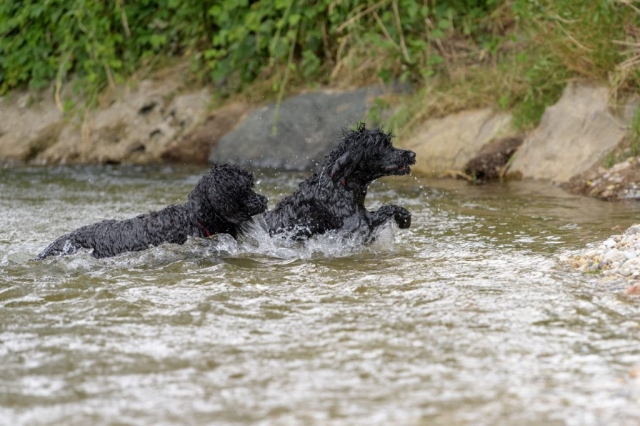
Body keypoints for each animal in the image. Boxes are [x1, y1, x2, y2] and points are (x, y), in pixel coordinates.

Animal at [264, 124, 418, 240]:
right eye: (384, 146)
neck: (341, 184)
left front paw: (404, 219)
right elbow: (385, 209)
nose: (413, 154)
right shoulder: (354, 227)